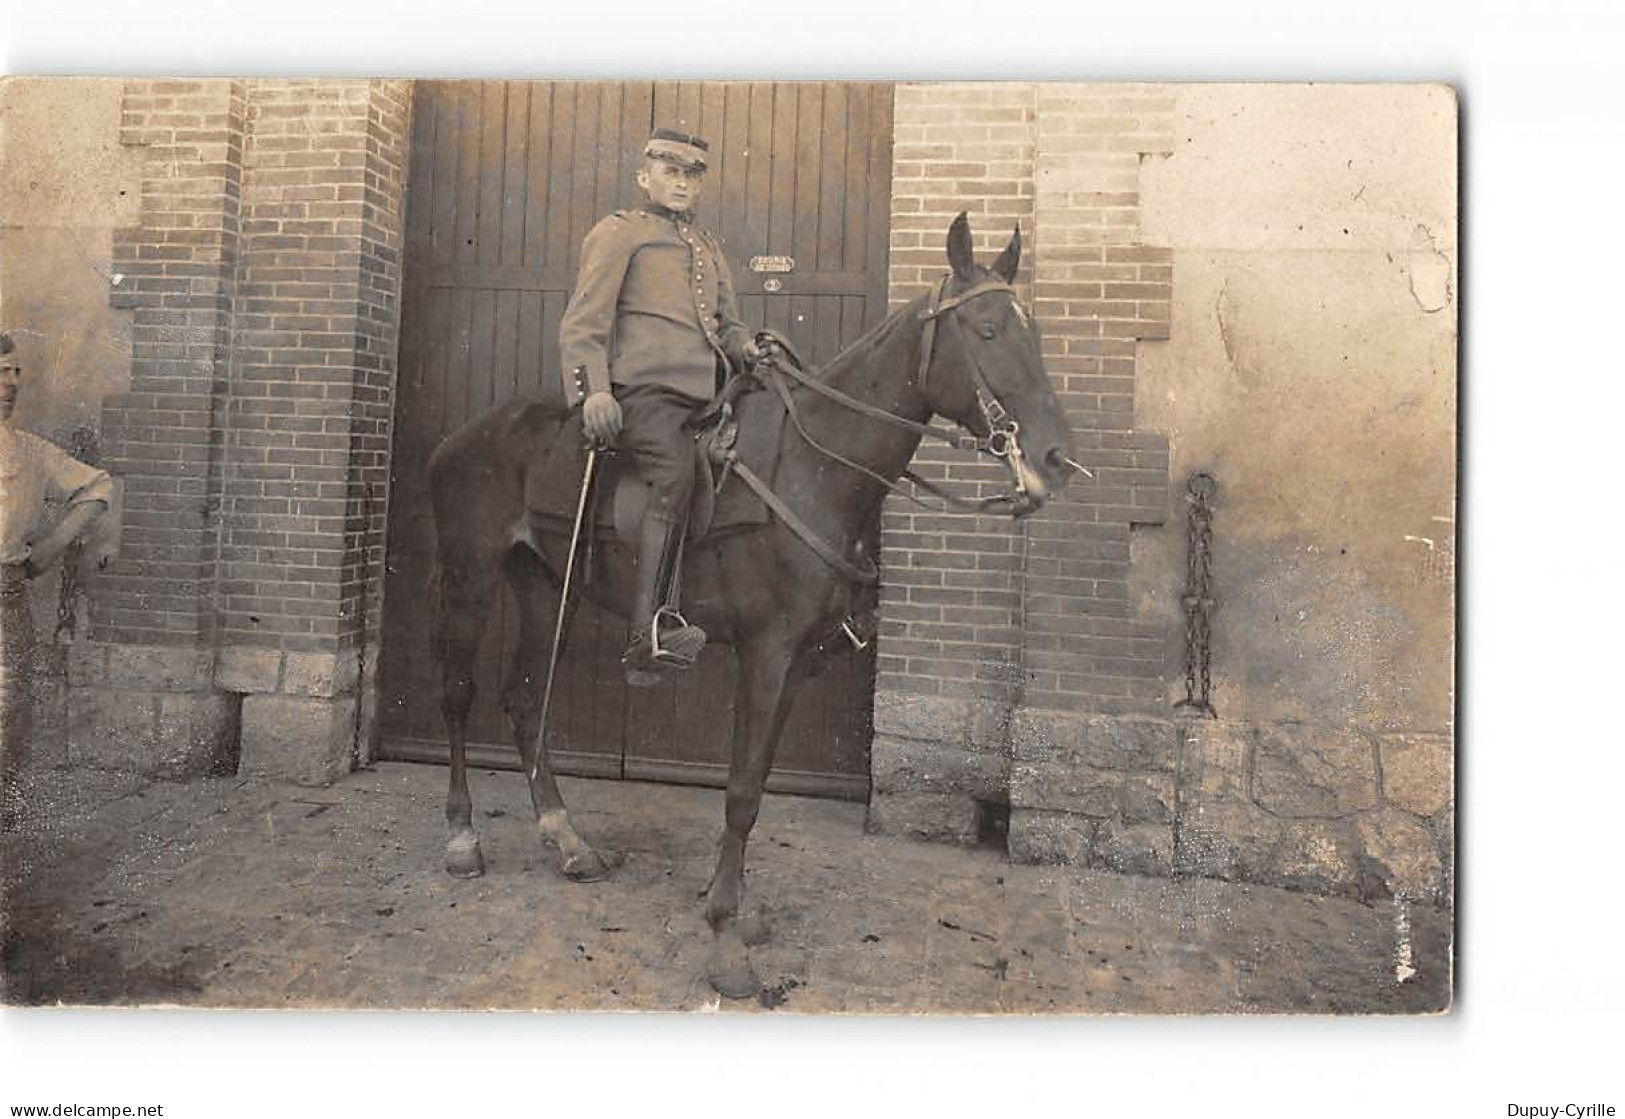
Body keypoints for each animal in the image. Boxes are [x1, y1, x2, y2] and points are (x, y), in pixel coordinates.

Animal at [429, 216, 1079, 993]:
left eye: (1030, 331)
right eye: (985, 330)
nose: (1055, 458)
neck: (812, 464)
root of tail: (468, 433)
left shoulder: (795, 663)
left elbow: (759, 782)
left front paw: (732, 909)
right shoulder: (765, 654)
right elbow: (739, 790)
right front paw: (723, 932)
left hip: (543, 586)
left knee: (527, 700)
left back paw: (568, 840)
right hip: (470, 578)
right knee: (459, 694)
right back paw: (463, 838)